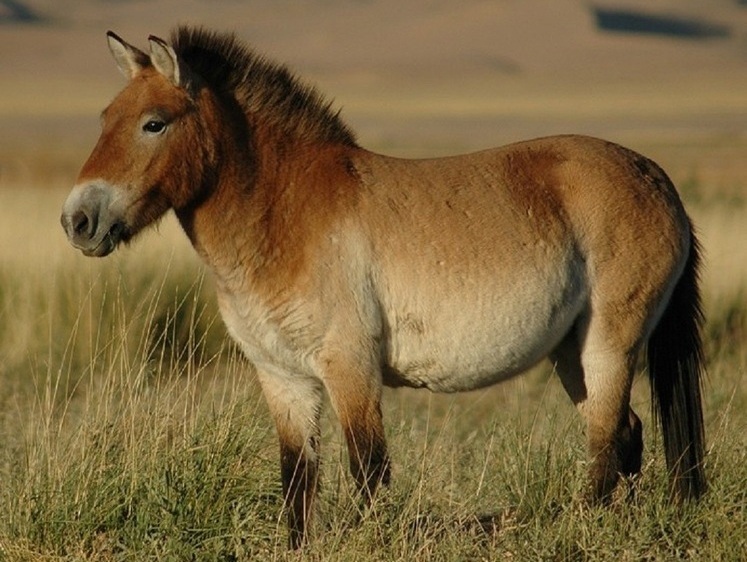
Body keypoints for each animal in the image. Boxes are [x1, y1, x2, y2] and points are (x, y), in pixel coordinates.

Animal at [62, 27, 708, 548]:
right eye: (103, 119)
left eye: (154, 123)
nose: (78, 221)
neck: (284, 215)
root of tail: (656, 178)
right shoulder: (283, 377)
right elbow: (297, 480)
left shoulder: (350, 366)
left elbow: (368, 472)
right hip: (571, 352)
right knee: (625, 435)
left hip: (609, 345)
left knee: (606, 446)